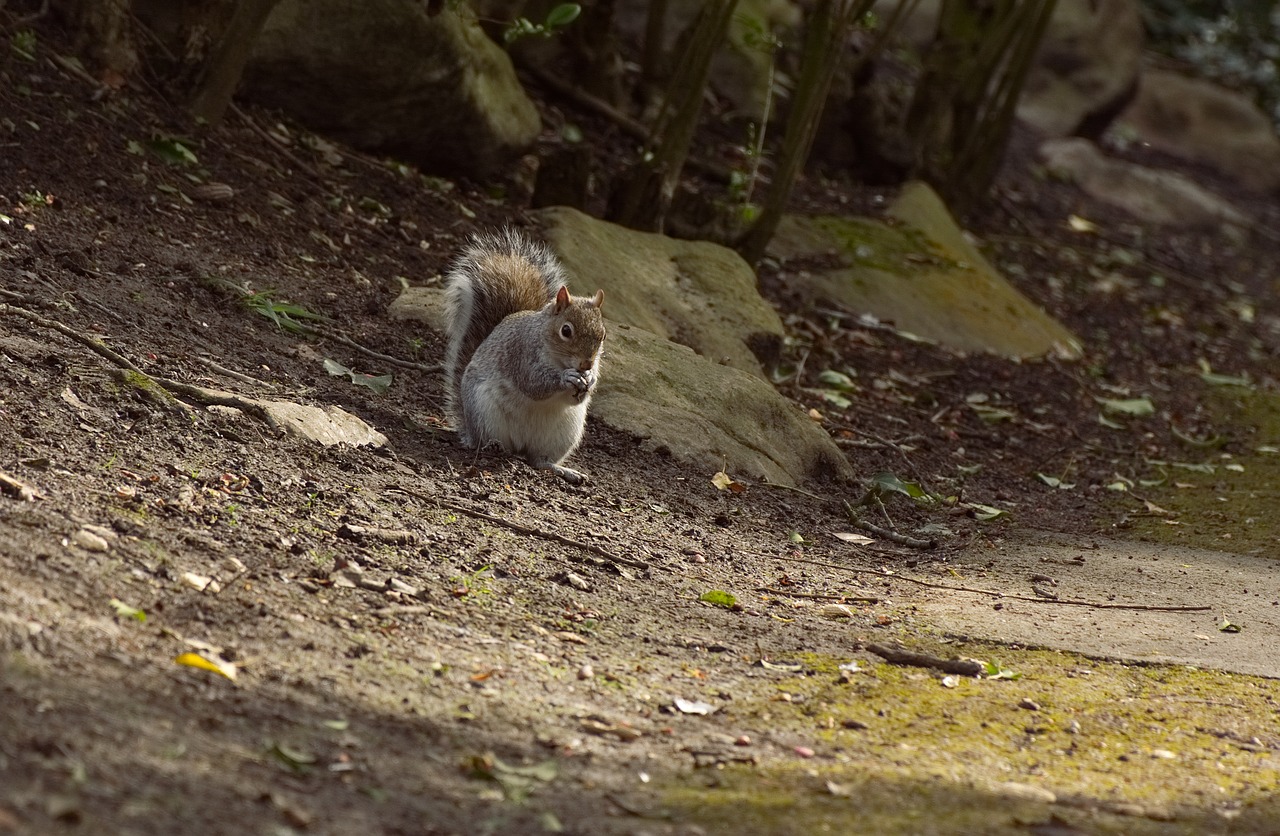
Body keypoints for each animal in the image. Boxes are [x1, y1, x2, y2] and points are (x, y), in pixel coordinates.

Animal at [442, 227, 606, 486]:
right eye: (566, 330)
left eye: (603, 334)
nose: (587, 363)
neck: (558, 359)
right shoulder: (521, 353)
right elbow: (533, 383)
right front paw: (566, 378)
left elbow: (578, 396)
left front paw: (589, 381)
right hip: (485, 413)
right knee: (486, 443)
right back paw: (494, 446)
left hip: (562, 433)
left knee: (538, 461)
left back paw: (563, 470)